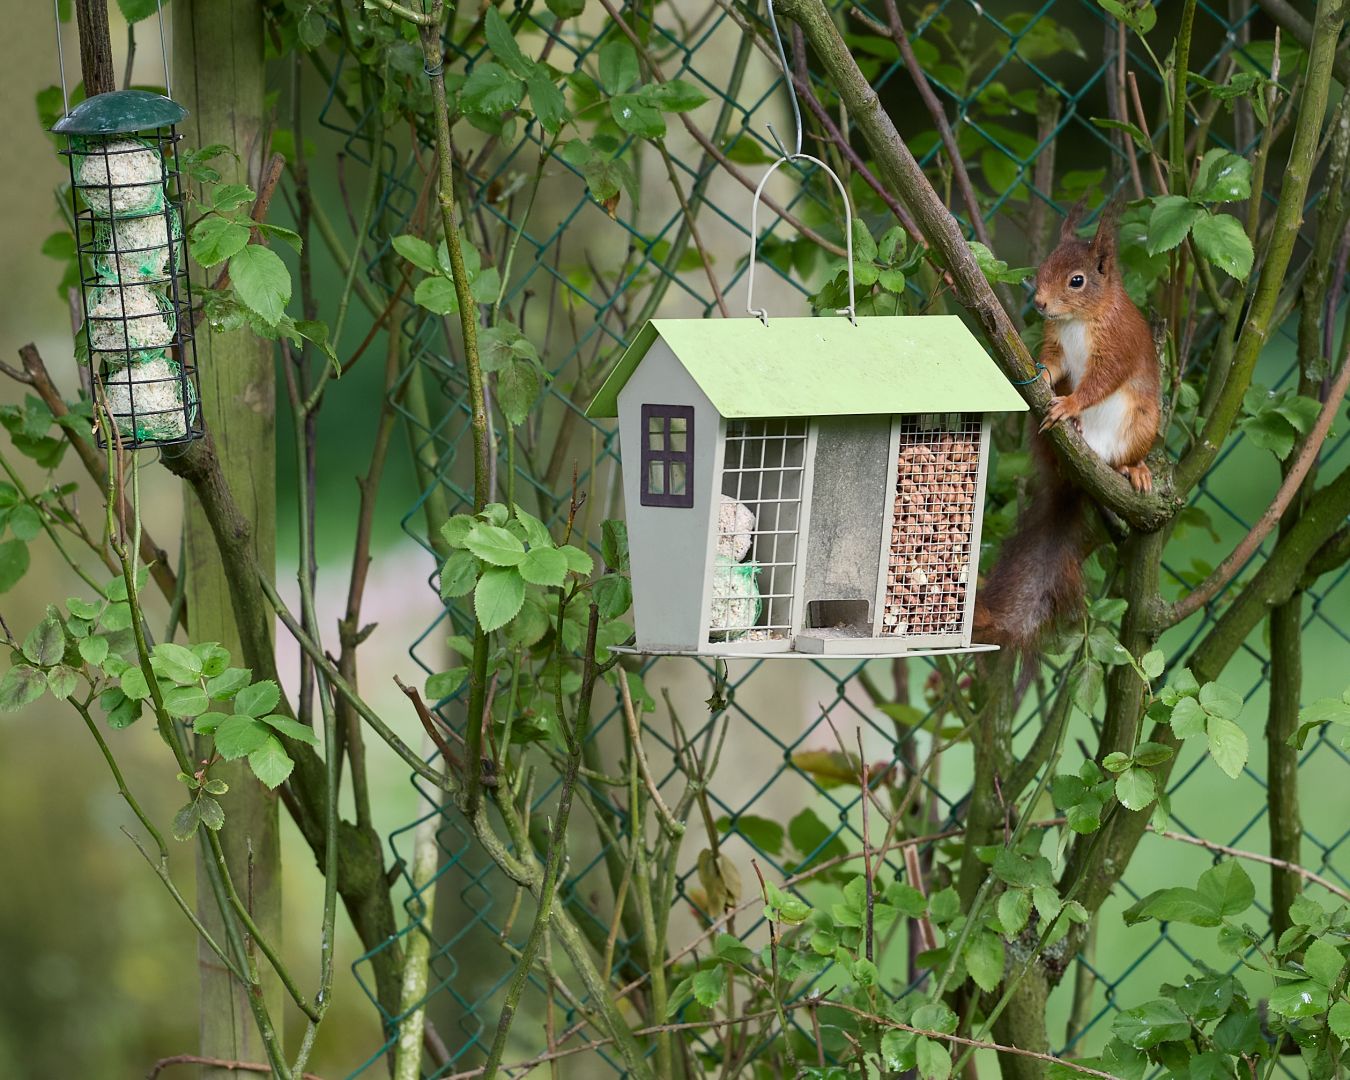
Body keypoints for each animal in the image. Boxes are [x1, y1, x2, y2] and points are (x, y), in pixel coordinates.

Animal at [973, 198, 1160, 652]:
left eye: (1077, 281)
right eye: (1043, 266)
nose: (1040, 303)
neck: (1079, 320)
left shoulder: (1118, 345)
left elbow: (1101, 381)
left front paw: (1071, 403)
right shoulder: (1056, 342)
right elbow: (1054, 365)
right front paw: (1040, 379)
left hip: (1142, 426)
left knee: (1123, 457)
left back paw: (1134, 469)